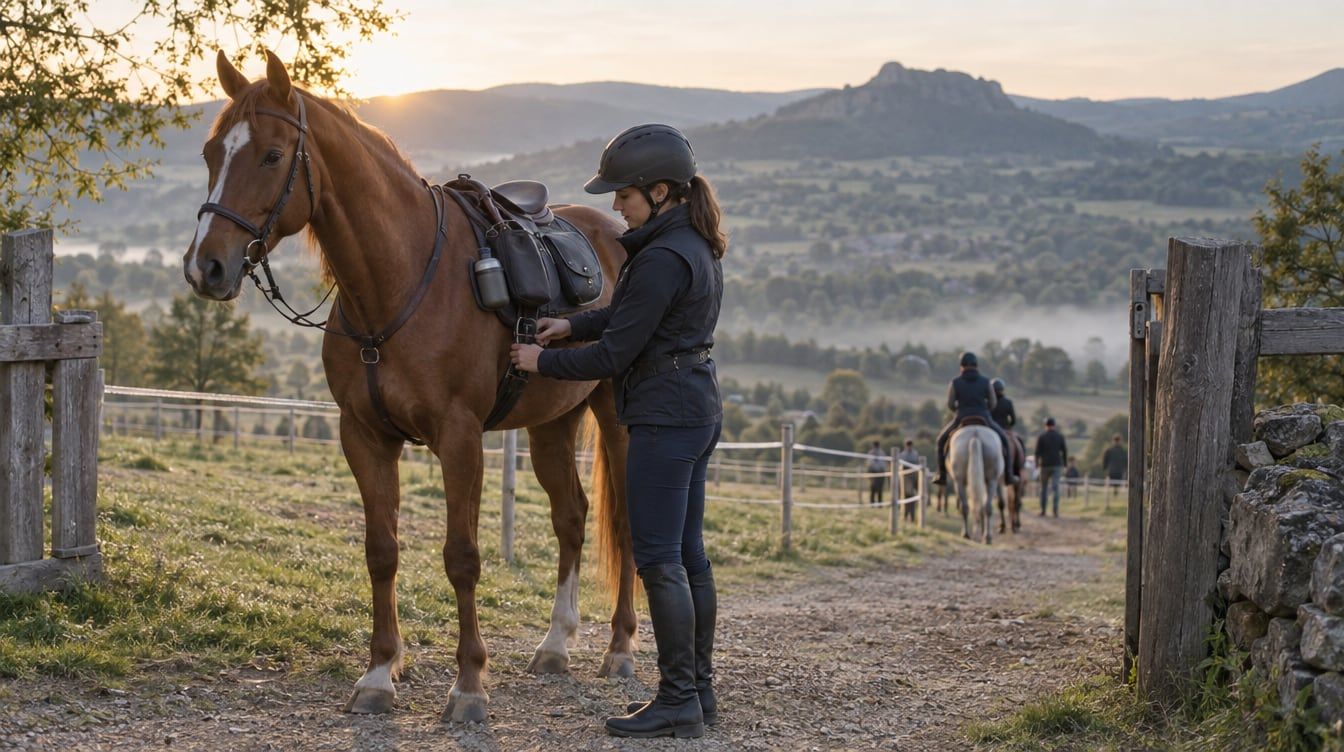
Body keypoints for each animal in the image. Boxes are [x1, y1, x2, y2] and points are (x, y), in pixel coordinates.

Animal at [182, 51, 638, 723]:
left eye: (270, 155)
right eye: (213, 153)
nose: (205, 267)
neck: (397, 283)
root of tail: (614, 235)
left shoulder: (460, 438)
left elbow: (462, 558)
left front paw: (469, 685)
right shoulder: (365, 436)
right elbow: (382, 550)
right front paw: (378, 674)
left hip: (616, 418)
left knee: (626, 521)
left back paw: (621, 649)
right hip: (552, 424)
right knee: (572, 518)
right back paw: (556, 644)